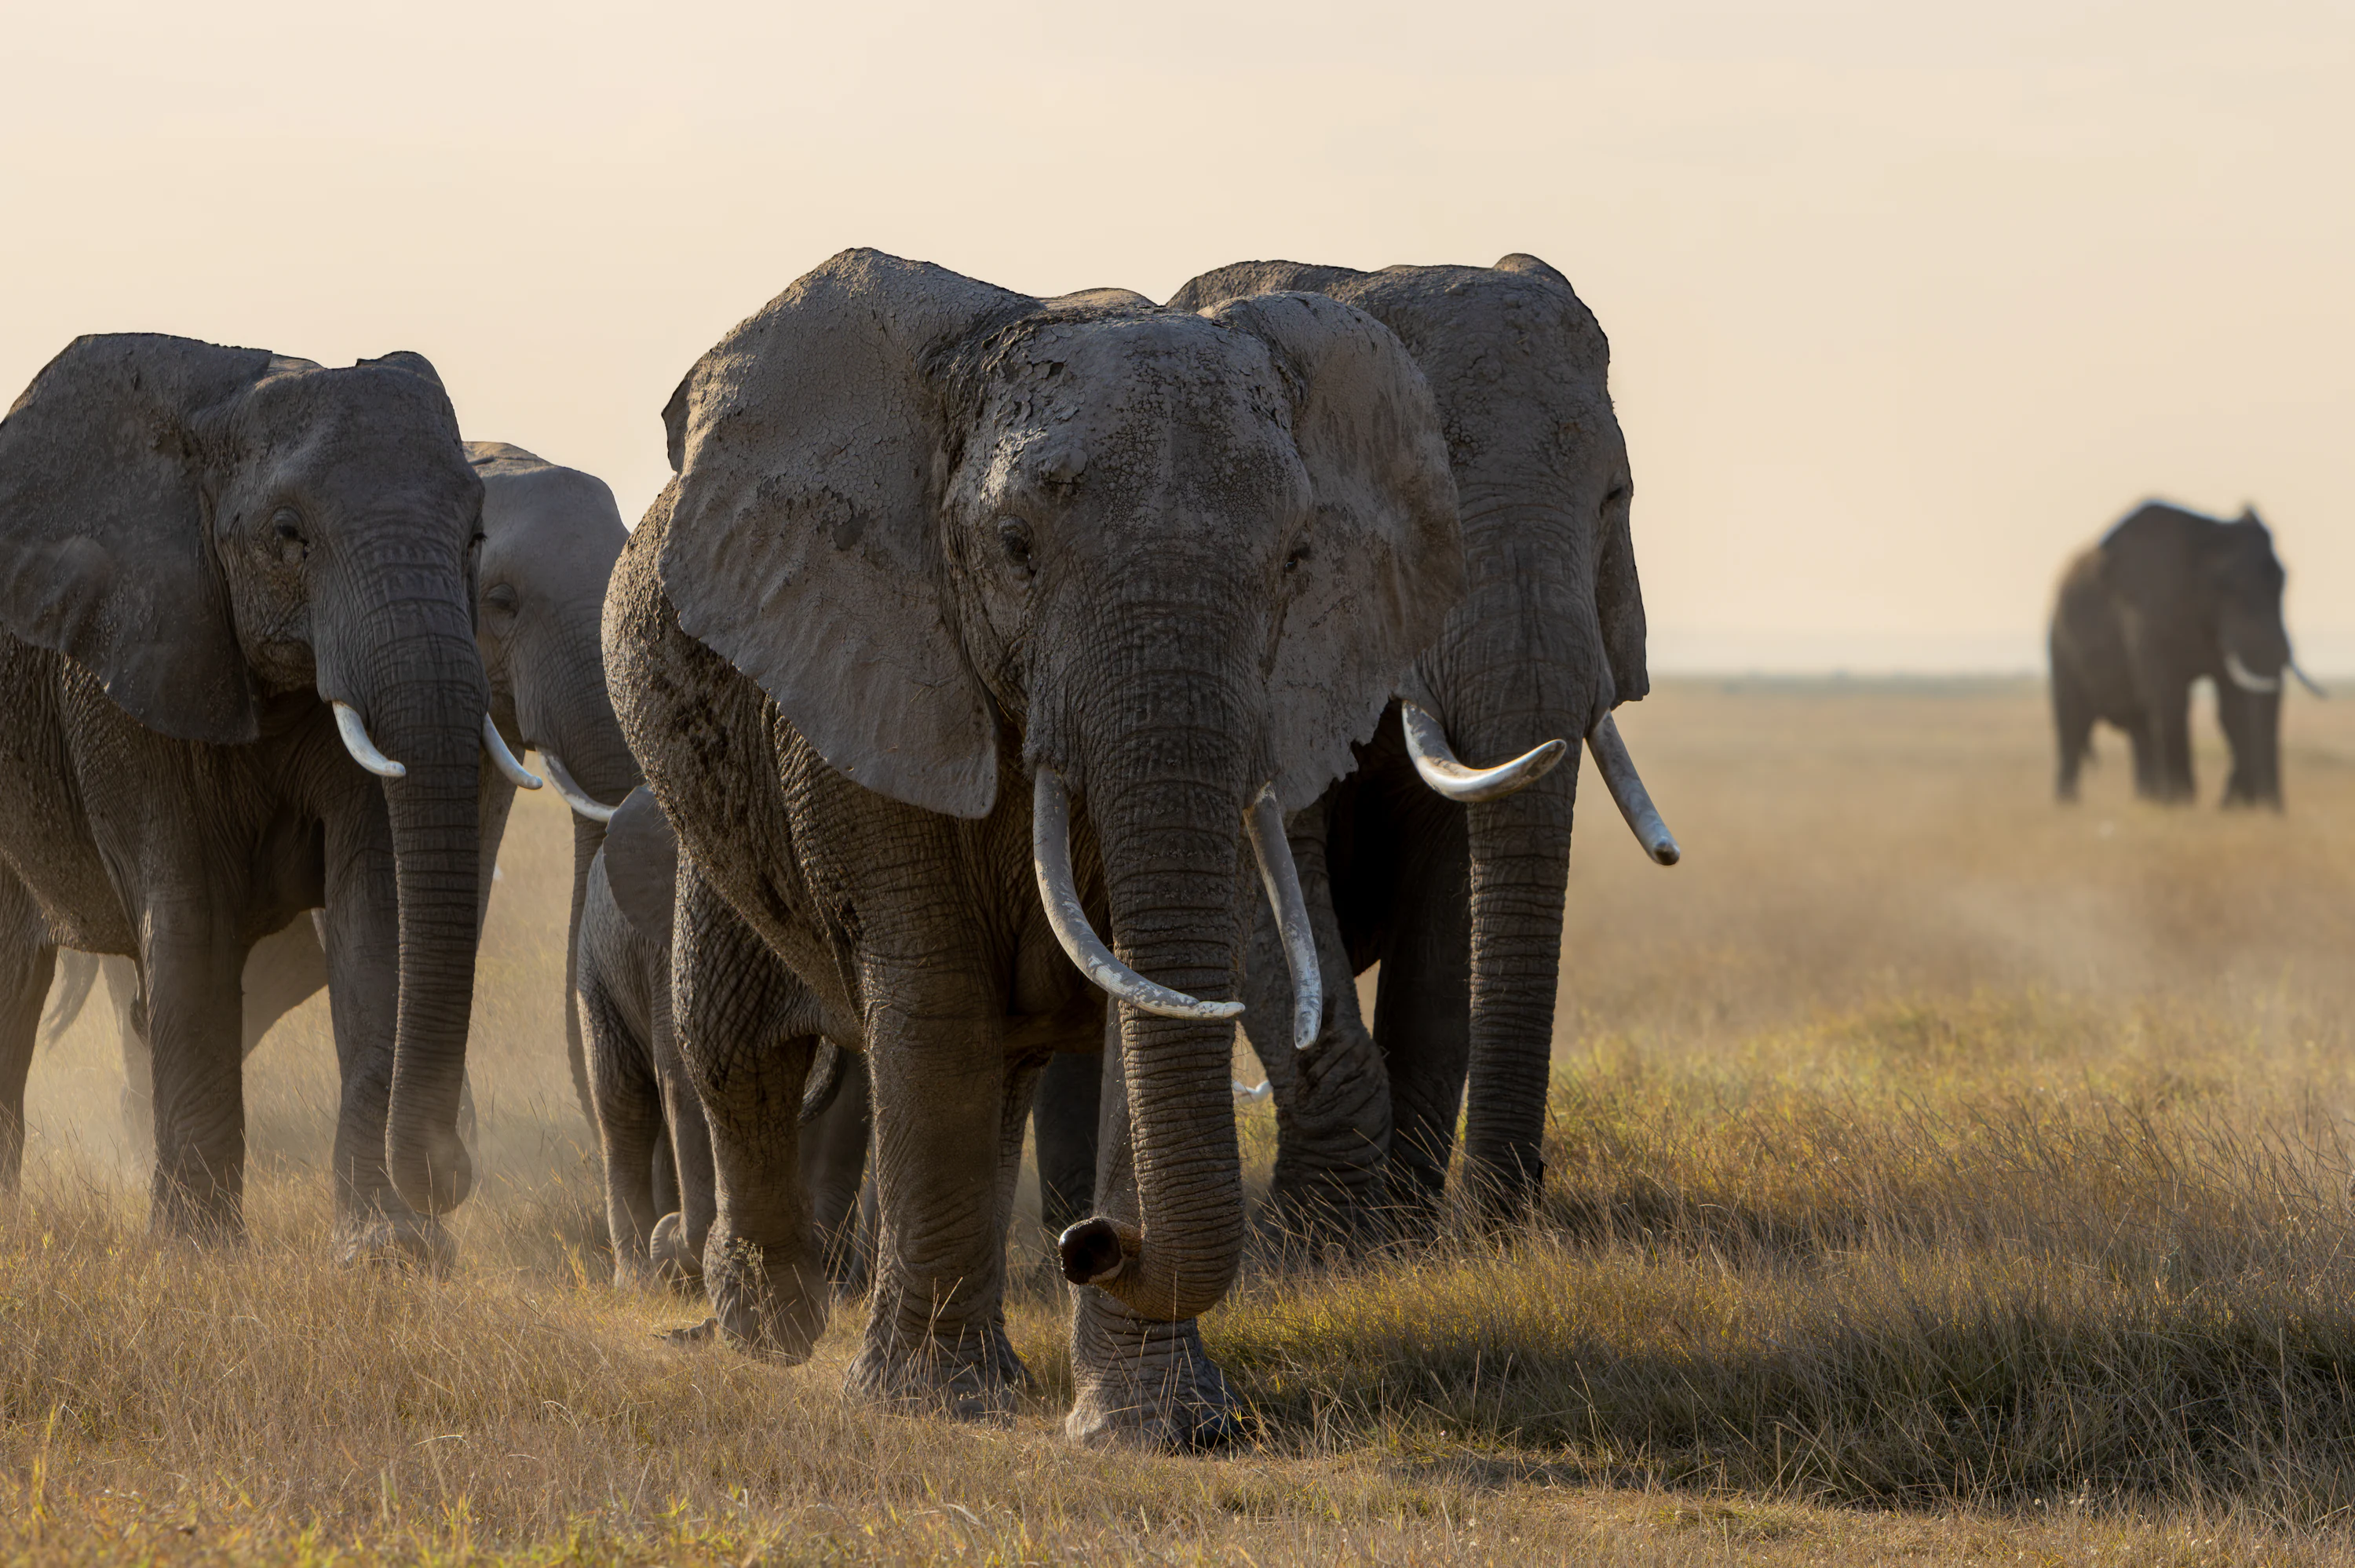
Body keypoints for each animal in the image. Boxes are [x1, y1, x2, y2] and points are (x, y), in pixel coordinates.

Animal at [0, 334, 491, 1252]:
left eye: (477, 537)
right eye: (288, 536)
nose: (451, 1175)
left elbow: (377, 910)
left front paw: (389, 1252)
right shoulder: (131, 660)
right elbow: (190, 915)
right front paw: (197, 1255)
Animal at [575, 785, 867, 1289]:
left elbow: (855, 1102)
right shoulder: (669, 952)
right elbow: (688, 1084)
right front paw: (681, 1249)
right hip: (596, 965)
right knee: (623, 1106)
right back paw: (639, 1279)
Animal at [605, 249, 1464, 1446]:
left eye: (1298, 558)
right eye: (1016, 551)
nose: (1088, 1244)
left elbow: (1135, 1001)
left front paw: (1159, 1430)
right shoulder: (868, 670)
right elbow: (933, 998)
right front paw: (932, 1405)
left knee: (984, 1067)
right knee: (737, 1046)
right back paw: (768, 1331)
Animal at [1111, 256, 1677, 1239]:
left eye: (1617, 501)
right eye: (1432, 521)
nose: (1512, 1209)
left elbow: (1450, 900)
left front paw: (1409, 1237)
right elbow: (1262, 895)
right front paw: (1322, 1242)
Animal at [2050, 501, 2318, 808]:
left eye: (2283, 583)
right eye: (2222, 586)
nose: (2273, 810)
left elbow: (2232, 705)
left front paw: (2233, 807)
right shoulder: (2148, 610)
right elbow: (2170, 696)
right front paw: (2182, 804)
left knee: (2141, 728)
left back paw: (2150, 801)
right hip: (2059, 641)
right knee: (2071, 724)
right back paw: (2069, 805)